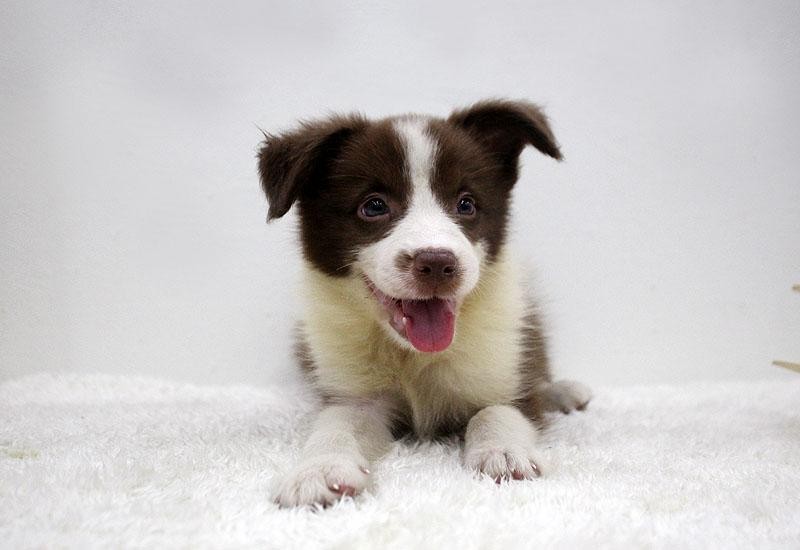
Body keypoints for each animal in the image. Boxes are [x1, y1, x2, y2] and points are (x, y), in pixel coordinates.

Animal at [258, 99, 592, 507]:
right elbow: (338, 424)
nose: (436, 262)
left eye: (466, 204)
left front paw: (504, 453)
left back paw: (564, 392)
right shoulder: (354, 393)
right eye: (374, 206)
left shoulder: (503, 365)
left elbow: (498, 409)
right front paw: (319, 470)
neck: (412, 356)